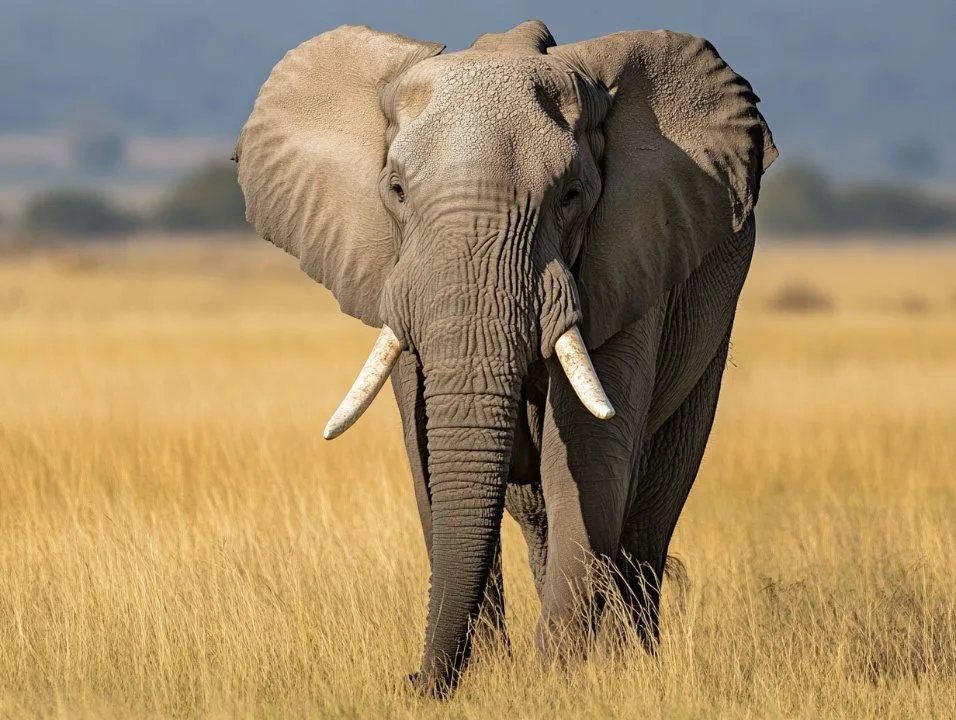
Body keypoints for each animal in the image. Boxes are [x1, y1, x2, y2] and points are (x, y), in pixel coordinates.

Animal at [233, 20, 776, 696]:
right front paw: (494, 675)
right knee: (537, 510)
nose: (412, 680)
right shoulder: (397, 277)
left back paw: (633, 660)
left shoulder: (629, 259)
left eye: (571, 195)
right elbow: (429, 460)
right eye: (396, 191)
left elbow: (588, 460)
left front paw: (559, 679)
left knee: (648, 516)